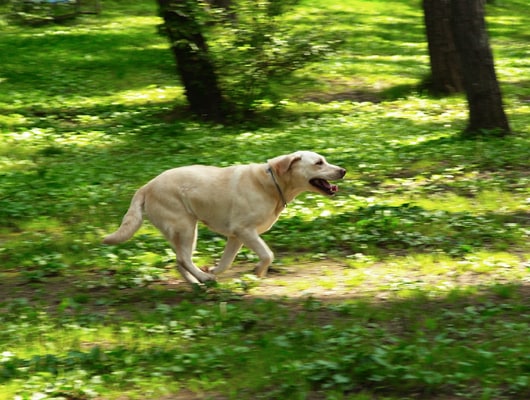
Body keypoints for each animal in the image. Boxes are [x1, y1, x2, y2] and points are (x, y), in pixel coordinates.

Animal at [101, 151, 344, 284]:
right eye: (319, 162)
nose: (343, 170)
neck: (271, 183)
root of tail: (146, 186)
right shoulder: (245, 231)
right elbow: (268, 254)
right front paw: (258, 270)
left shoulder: (236, 237)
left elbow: (227, 261)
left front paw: (215, 270)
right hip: (186, 228)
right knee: (183, 259)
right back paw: (203, 279)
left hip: (183, 232)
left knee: (179, 260)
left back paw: (197, 282)